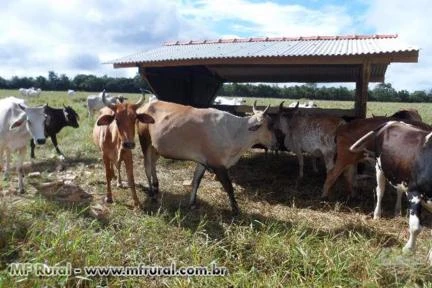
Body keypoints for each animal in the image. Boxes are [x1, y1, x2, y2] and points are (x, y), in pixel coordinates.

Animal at [138, 100, 276, 215]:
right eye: (270, 126)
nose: (276, 143)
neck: (235, 132)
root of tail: (147, 104)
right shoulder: (217, 164)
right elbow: (229, 187)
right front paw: (235, 209)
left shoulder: (203, 161)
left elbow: (196, 181)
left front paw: (192, 203)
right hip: (145, 141)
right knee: (147, 167)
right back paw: (152, 194)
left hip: (155, 148)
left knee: (153, 164)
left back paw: (156, 186)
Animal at [350, 121, 432, 256]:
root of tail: (392, 122)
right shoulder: (414, 192)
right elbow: (415, 227)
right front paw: (408, 249)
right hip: (379, 167)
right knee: (380, 192)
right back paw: (377, 215)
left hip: (398, 173)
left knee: (399, 190)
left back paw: (397, 212)